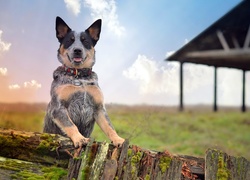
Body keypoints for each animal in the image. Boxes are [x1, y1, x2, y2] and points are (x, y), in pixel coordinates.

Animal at [43, 16, 125, 155]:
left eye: (85, 41)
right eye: (69, 41)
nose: (77, 50)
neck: (79, 77)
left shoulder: (99, 108)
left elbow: (109, 127)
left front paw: (118, 139)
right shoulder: (58, 108)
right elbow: (71, 125)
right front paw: (80, 139)